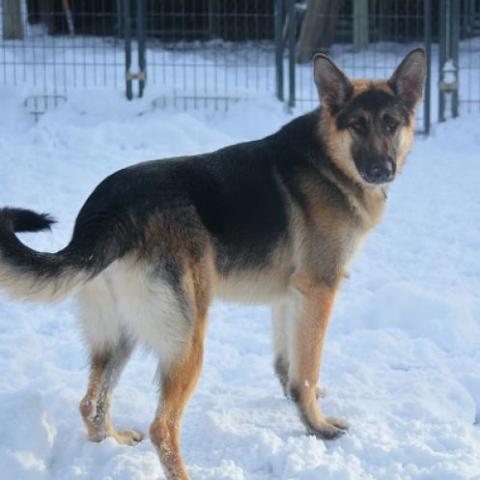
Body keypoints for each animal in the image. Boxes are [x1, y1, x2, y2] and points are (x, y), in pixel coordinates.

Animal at [0, 48, 428, 476]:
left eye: (391, 124)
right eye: (357, 126)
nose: (380, 171)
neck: (328, 159)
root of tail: (112, 208)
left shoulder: (290, 296)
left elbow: (289, 363)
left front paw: (296, 400)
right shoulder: (318, 290)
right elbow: (307, 370)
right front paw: (317, 426)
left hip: (121, 334)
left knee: (91, 403)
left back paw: (114, 444)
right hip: (189, 338)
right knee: (162, 426)